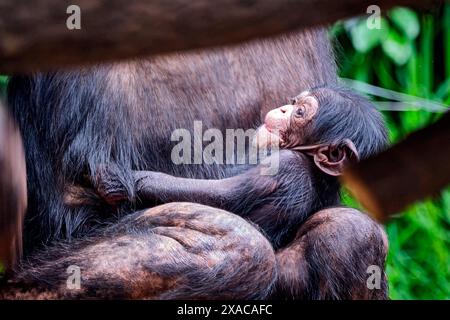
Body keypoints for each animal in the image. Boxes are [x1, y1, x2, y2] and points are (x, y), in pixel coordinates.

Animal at [92, 86, 386, 249]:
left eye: (300, 112)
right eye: (294, 103)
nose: (283, 108)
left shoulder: (286, 166)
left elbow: (219, 194)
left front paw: (127, 180)